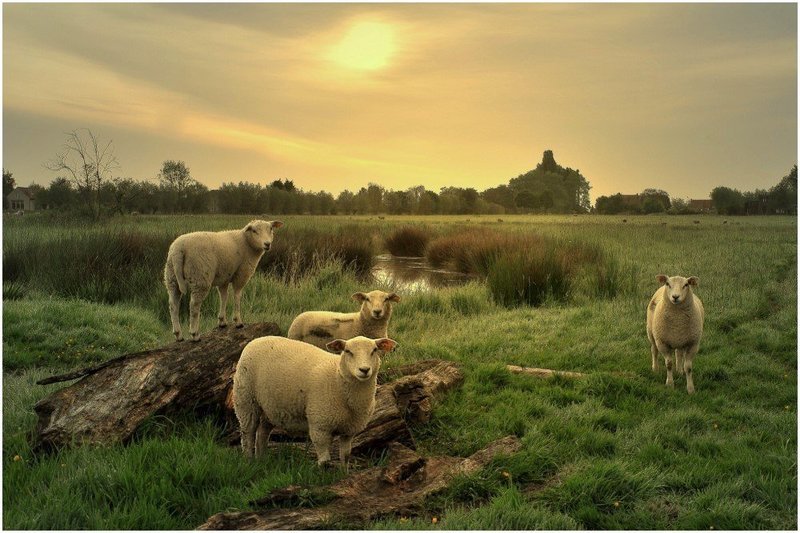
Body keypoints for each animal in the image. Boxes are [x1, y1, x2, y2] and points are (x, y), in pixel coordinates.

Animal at [233, 335, 398, 467]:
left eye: (374, 350)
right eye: (347, 351)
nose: (364, 370)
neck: (337, 379)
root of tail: (255, 340)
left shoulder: (349, 430)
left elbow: (345, 456)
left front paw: (344, 474)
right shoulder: (320, 425)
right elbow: (325, 461)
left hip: (270, 407)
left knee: (262, 432)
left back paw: (262, 460)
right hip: (246, 400)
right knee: (248, 434)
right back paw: (248, 461)